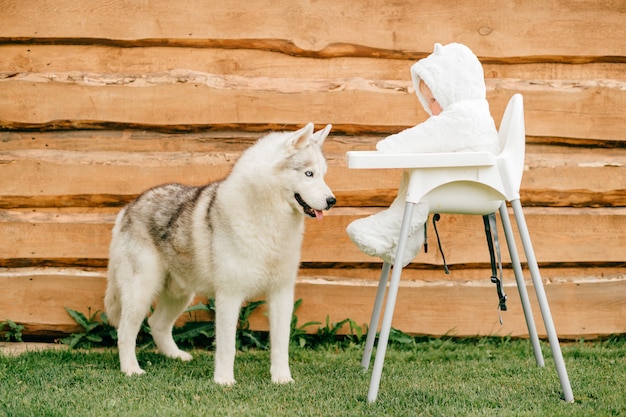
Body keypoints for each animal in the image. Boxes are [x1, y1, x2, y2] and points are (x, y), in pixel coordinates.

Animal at [105, 122, 334, 384]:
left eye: (323, 174)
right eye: (309, 174)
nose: (332, 200)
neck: (269, 223)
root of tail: (129, 206)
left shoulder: (281, 294)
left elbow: (280, 345)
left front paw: (282, 379)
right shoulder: (229, 295)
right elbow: (227, 347)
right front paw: (224, 381)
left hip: (180, 295)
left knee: (157, 324)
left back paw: (175, 356)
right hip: (141, 293)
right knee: (125, 332)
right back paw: (131, 369)